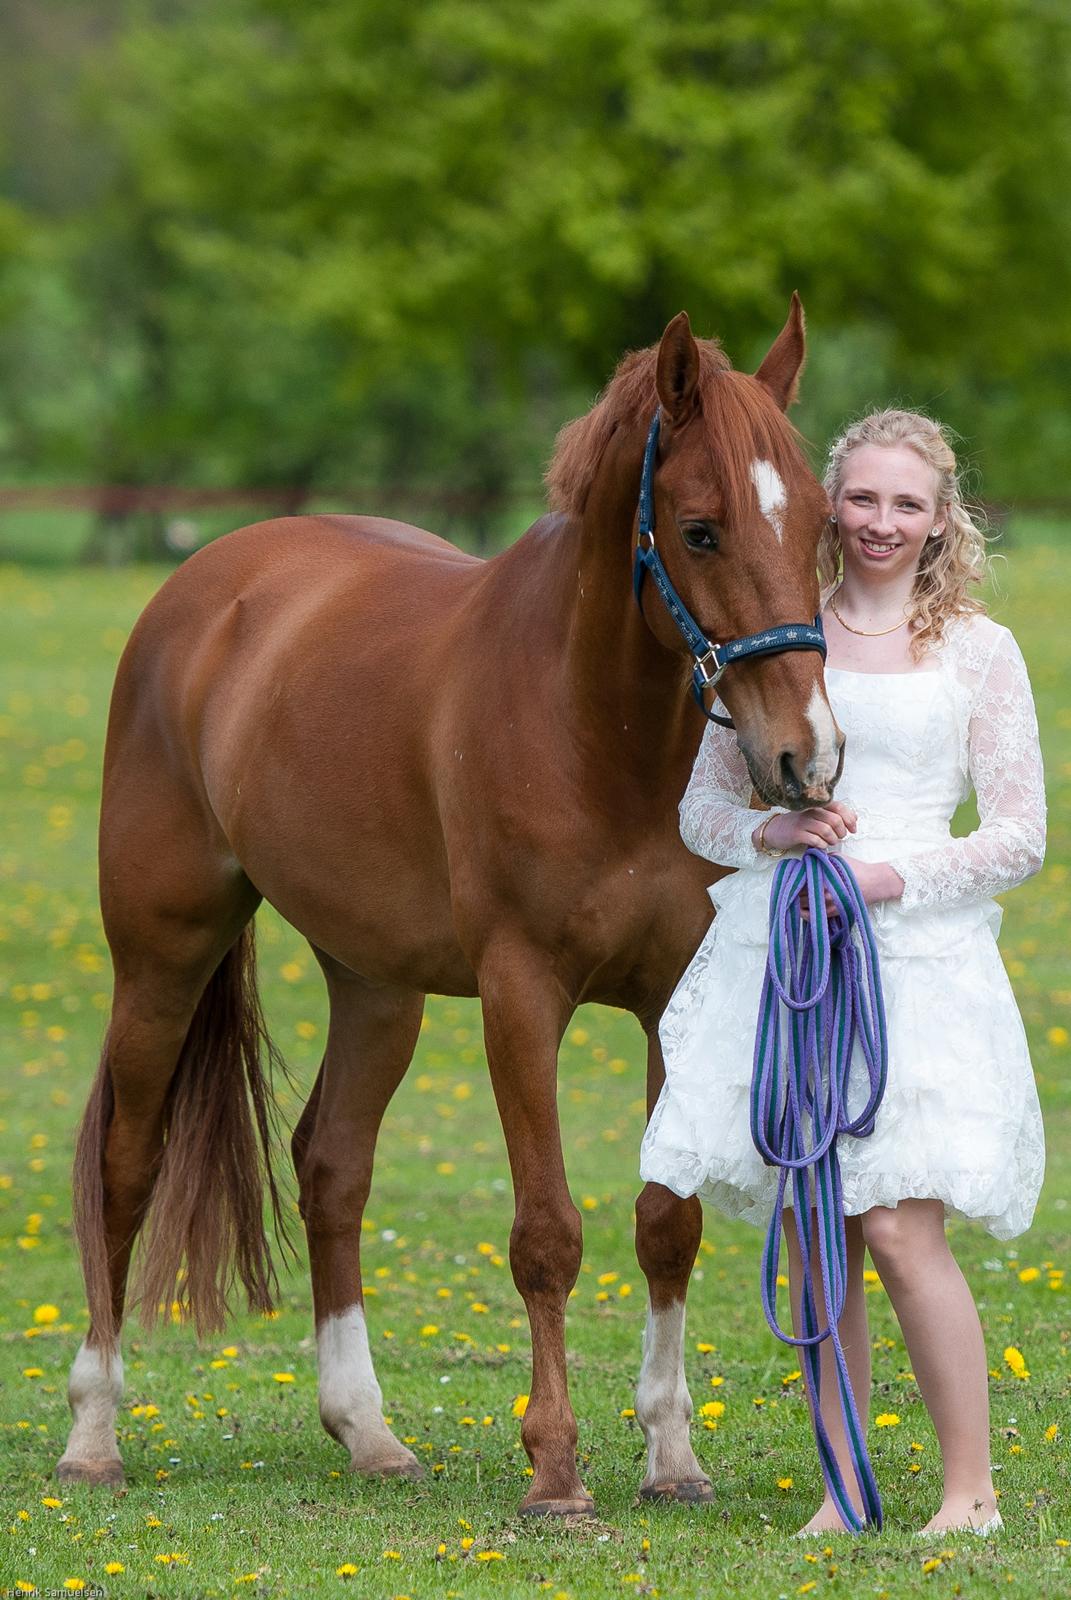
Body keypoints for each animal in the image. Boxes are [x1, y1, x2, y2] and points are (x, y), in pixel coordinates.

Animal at [58, 299, 843, 1516]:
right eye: (702, 530)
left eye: (814, 524)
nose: (804, 757)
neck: (594, 731)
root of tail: (211, 584)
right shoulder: (521, 995)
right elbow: (546, 1234)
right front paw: (556, 1469)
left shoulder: (671, 993)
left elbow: (667, 1223)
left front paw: (672, 1456)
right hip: (162, 957)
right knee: (123, 1167)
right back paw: (94, 1432)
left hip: (377, 984)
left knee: (331, 1166)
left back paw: (367, 1431)